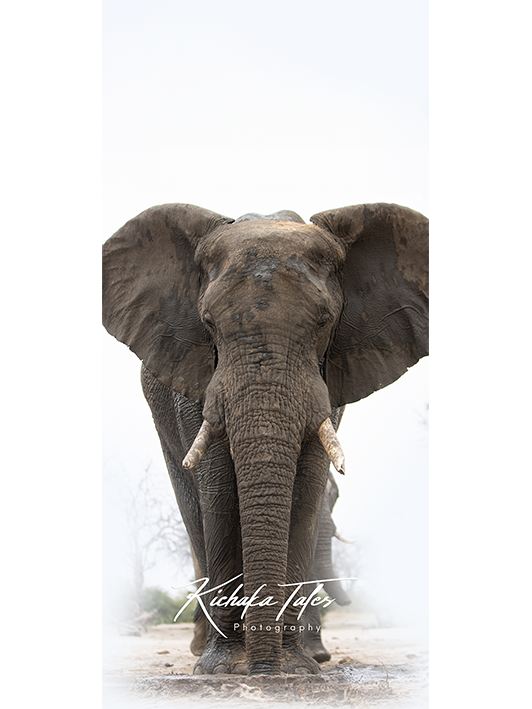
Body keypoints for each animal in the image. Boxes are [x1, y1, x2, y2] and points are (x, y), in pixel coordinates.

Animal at [102, 202, 430, 676]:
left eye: (324, 321)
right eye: (207, 323)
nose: (263, 669)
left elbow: (305, 487)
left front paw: (296, 668)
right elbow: (219, 490)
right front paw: (220, 670)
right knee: (192, 510)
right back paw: (201, 652)